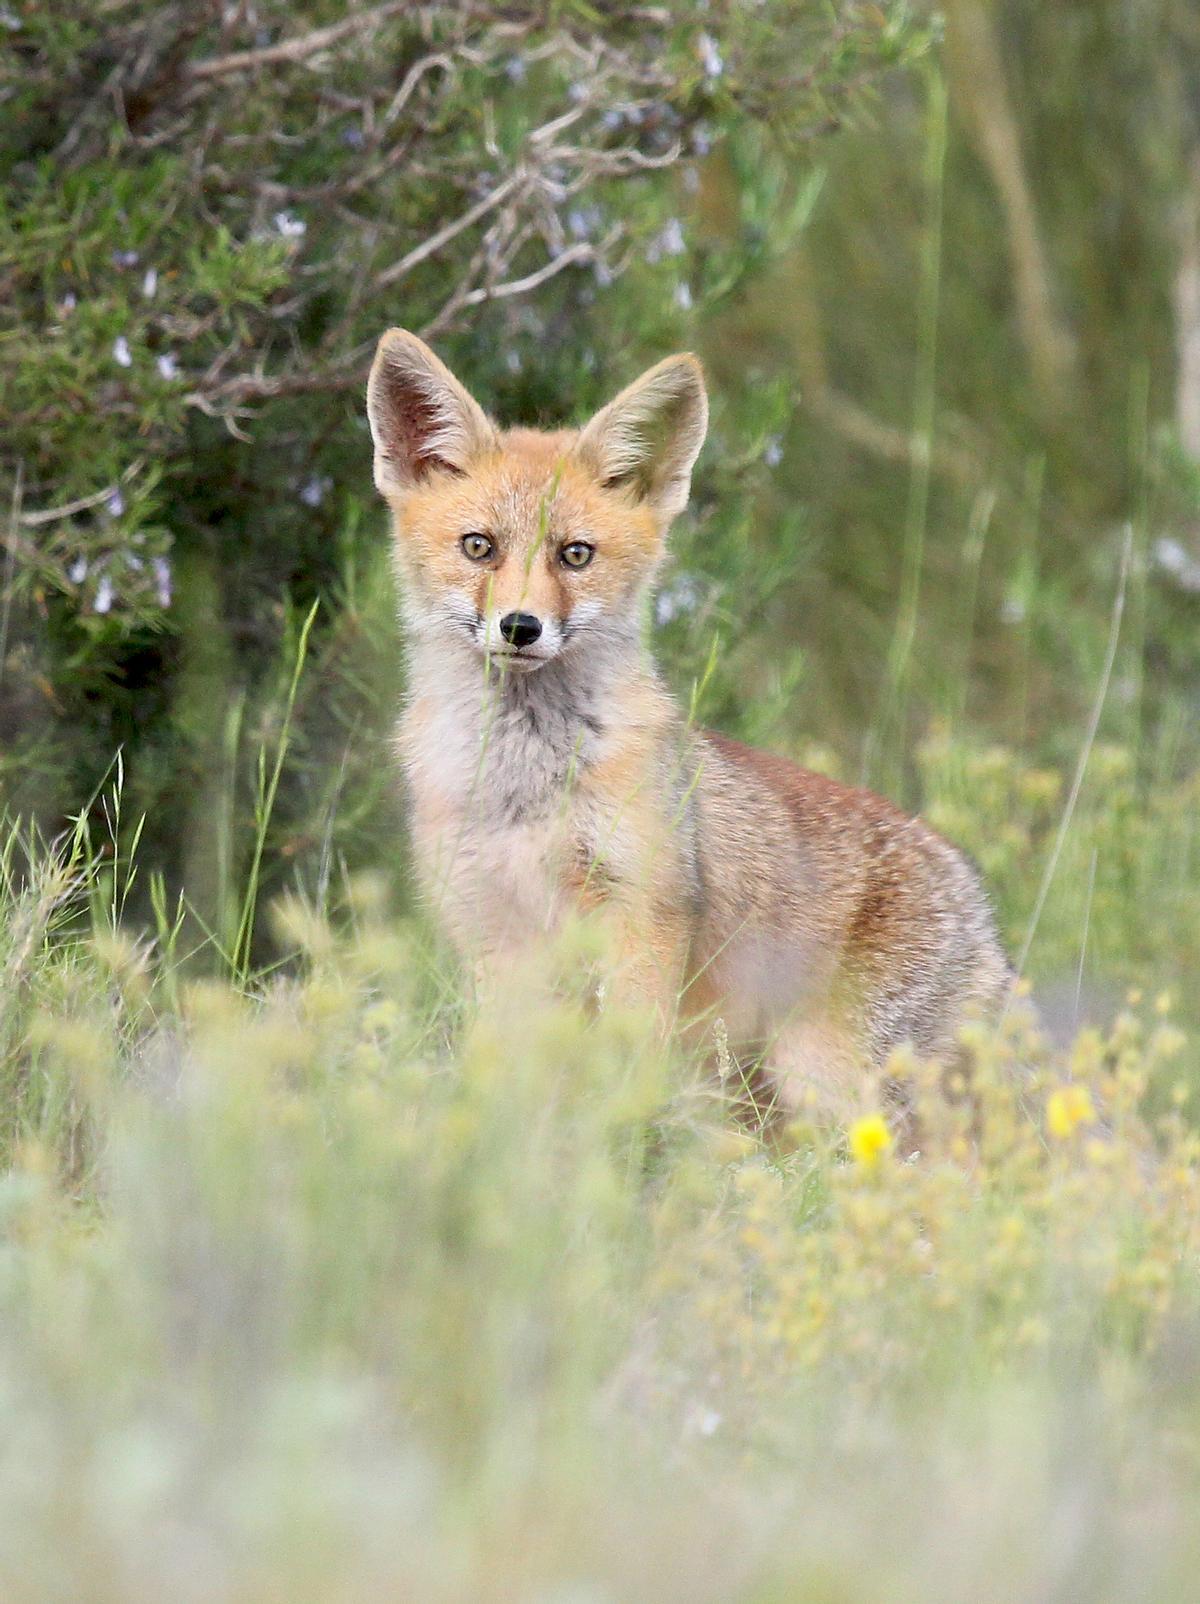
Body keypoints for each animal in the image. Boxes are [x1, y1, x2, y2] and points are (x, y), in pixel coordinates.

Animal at [365, 332, 1013, 1122]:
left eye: (574, 554)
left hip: (825, 1080)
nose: (520, 627)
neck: (526, 786)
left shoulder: (644, 911)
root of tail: (978, 901)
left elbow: (624, 1065)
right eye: (478, 547)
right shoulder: (490, 927)